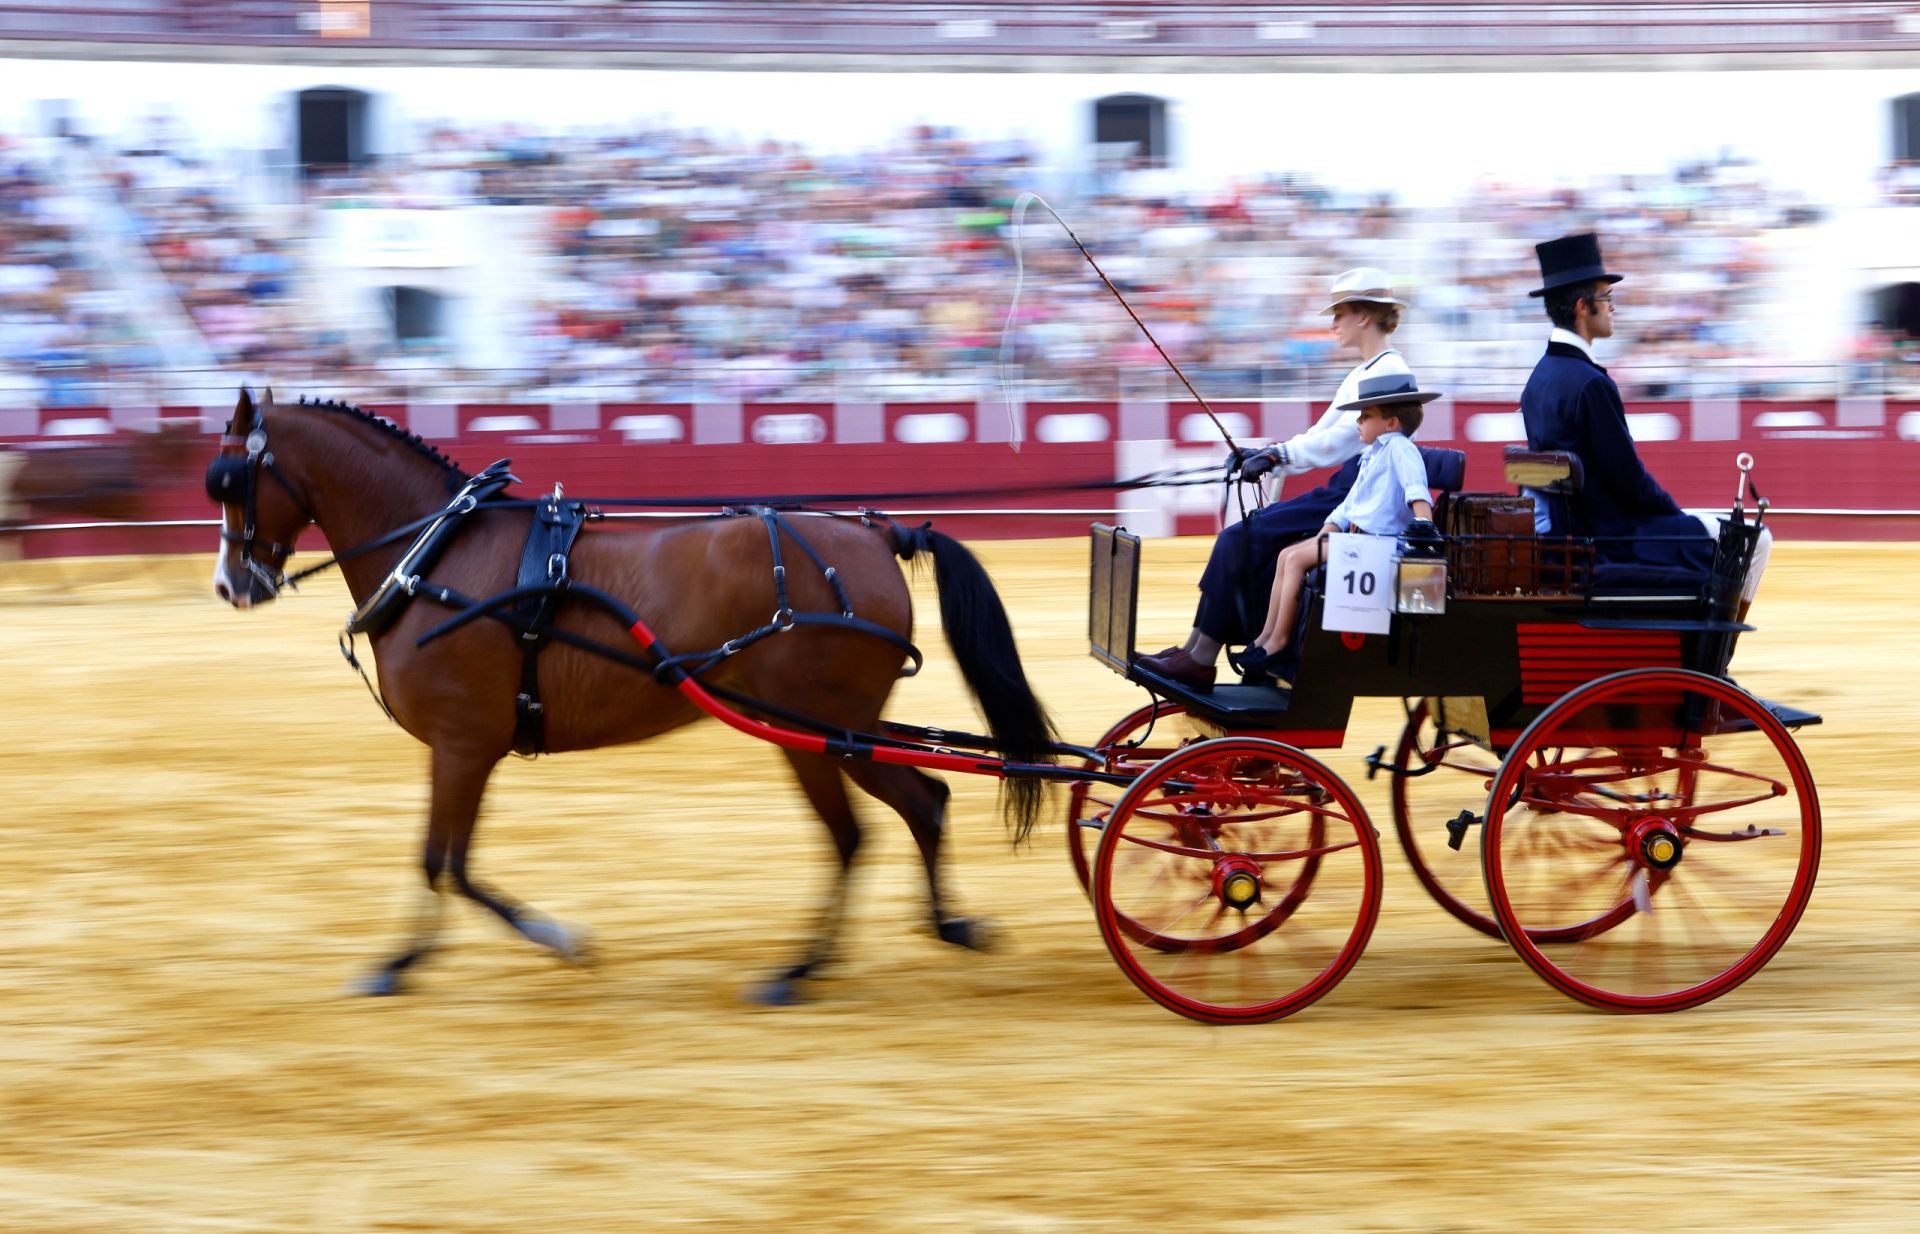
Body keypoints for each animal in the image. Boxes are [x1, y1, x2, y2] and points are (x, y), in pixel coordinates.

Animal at [206, 393, 1067, 1005]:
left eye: (232, 481)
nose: (230, 585)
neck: (439, 555)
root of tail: (879, 536)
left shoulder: (462, 744)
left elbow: (444, 863)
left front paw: (501, 944)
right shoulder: (467, 749)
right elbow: (447, 861)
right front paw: (435, 953)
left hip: (821, 731)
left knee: (868, 828)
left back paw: (807, 966)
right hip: (835, 729)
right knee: (919, 806)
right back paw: (929, 930)